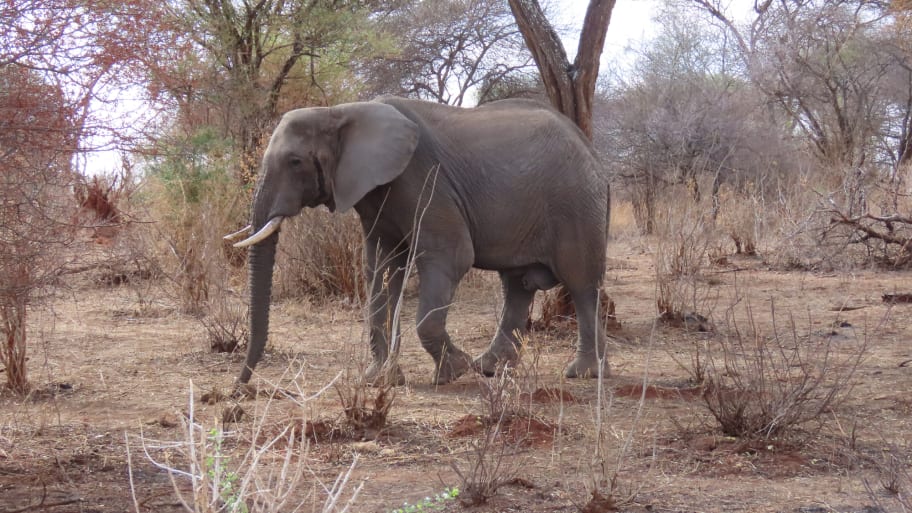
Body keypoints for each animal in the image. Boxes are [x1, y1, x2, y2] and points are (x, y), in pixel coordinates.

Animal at [227, 96, 612, 386]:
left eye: (295, 162)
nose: (240, 387)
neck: (340, 111)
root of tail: (592, 149)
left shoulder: (423, 180)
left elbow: (451, 256)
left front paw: (453, 372)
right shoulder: (377, 195)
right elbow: (380, 270)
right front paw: (380, 380)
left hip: (576, 203)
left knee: (580, 283)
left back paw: (583, 374)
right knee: (517, 285)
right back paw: (490, 369)